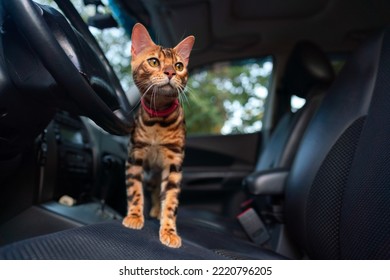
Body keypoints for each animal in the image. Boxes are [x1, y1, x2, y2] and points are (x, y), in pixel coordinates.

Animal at [122, 23, 195, 248]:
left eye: (179, 66)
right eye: (154, 61)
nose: (170, 72)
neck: (157, 122)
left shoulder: (174, 165)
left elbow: (170, 201)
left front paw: (169, 230)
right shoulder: (134, 157)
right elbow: (135, 191)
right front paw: (135, 216)